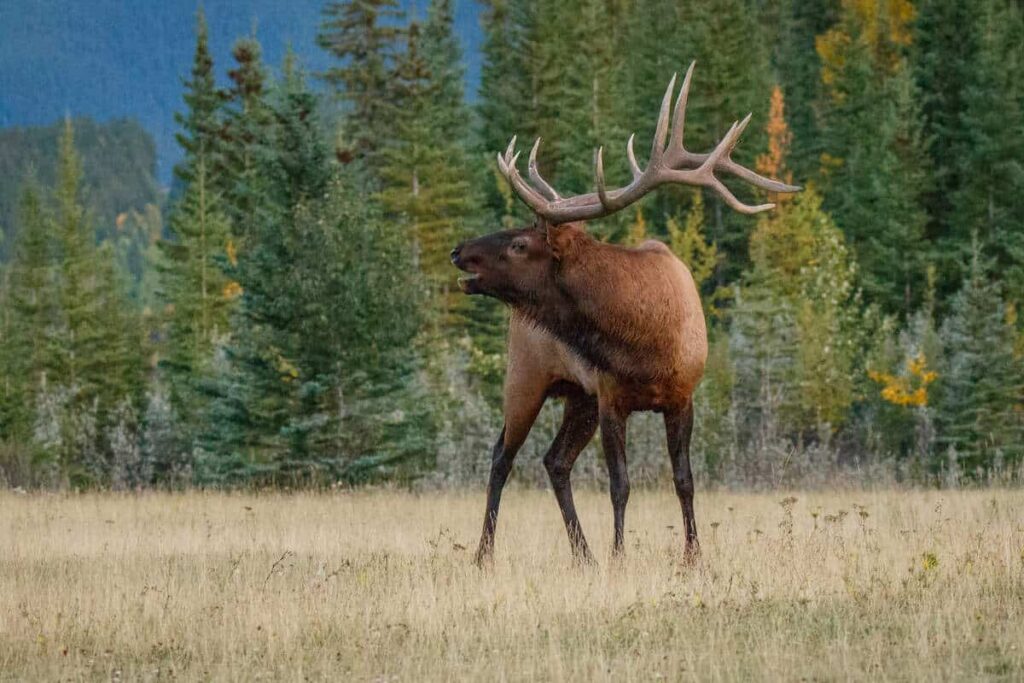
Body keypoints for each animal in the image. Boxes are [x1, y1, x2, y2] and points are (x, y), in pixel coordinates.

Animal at [450, 62, 798, 565]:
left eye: (519, 244)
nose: (459, 251)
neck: (644, 338)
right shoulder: (612, 396)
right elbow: (621, 485)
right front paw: (620, 556)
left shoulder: (681, 396)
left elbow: (684, 480)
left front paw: (692, 556)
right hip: (526, 377)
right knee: (502, 457)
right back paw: (484, 554)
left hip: (577, 396)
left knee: (554, 461)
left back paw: (583, 554)